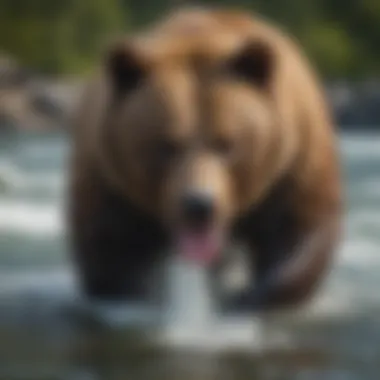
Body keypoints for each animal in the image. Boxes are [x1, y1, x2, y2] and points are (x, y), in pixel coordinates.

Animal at [67, 7, 342, 314]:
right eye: (166, 145)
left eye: (226, 143)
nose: (198, 205)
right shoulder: (108, 176)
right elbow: (109, 247)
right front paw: (145, 294)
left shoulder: (293, 162)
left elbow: (299, 231)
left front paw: (245, 298)